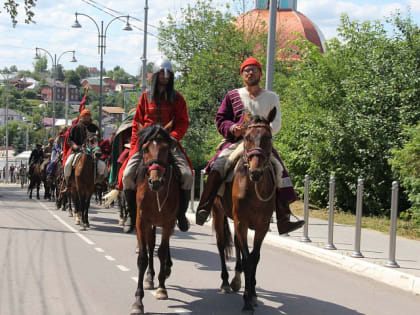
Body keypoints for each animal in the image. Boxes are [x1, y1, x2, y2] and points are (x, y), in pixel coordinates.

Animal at [130, 123, 179, 315]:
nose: (155, 181)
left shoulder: (168, 222)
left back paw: (165, 271)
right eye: (145, 149)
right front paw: (138, 301)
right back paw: (150, 277)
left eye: (166, 148)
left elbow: (163, 252)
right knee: (150, 246)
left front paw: (162, 288)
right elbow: (143, 257)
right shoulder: (141, 221)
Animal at [212, 108, 278, 314]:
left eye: (268, 137)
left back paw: (236, 280)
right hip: (218, 214)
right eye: (247, 137)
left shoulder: (262, 226)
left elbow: (254, 258)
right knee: (221, 245)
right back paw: (226, 282)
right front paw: (247, 300)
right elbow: (248, 258)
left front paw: (253, 293)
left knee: (237, 243)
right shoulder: (241, 221)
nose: (255, 172)